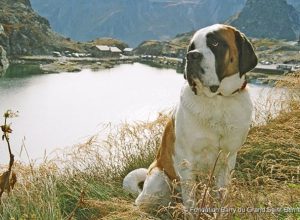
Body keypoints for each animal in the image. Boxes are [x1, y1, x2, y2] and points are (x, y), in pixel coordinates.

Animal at [122, 23, 258, 210]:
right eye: (191, 47)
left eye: (215, 43)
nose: (191, 55)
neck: (217, 100)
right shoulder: (187, 163)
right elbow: (191, 201)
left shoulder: (228, 159)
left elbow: (222, 193)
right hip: (159, 179)